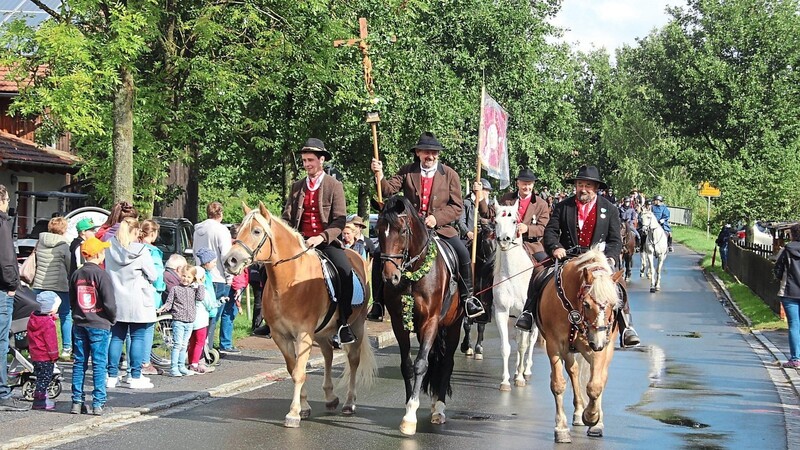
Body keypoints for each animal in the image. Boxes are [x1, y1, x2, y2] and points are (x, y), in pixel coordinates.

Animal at [222, 203, 376, 428]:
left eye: (257, 231)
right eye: (238, 230)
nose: (229, 261)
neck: (288, 281)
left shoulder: (303, 334)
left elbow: (299, 372)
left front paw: (293, 413)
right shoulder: (281, 336)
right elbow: (293, 369)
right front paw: (303, 407)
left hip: (356, 324)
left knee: (353, 360)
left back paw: (349, 403)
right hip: (321, 332)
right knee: (328, 354)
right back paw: (330, 398)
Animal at [380, 195, 466, 434]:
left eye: (402, 231)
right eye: (379, 229)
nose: (390, 277)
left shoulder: (431, 321)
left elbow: (421, 364)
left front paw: (410, 415)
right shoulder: (400, 323)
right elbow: (407, 365)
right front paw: (410, 403)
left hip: (453, 325)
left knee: (447, 363)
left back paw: (439, 408)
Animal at [490, 203, 540, 390]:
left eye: (513, 221)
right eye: (496, 221)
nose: (504, 240)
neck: (513, 275)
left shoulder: (525, 314)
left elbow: (523, 345)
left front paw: (519, 377)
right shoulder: (502, 312)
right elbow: (506, 347)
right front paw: (505, 381)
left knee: (530, 341)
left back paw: (526, 371)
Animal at [536, 250, 628, 442]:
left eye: (612, 304)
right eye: (587, 304)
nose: (598, 342)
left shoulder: (599, 348)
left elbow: (595, 386)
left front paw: (592, 417)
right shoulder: (555, 345)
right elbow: (558, 384)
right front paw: (561, 428)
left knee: (601, 378)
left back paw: (596, 422)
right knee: (574, 371)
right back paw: (578, 412)